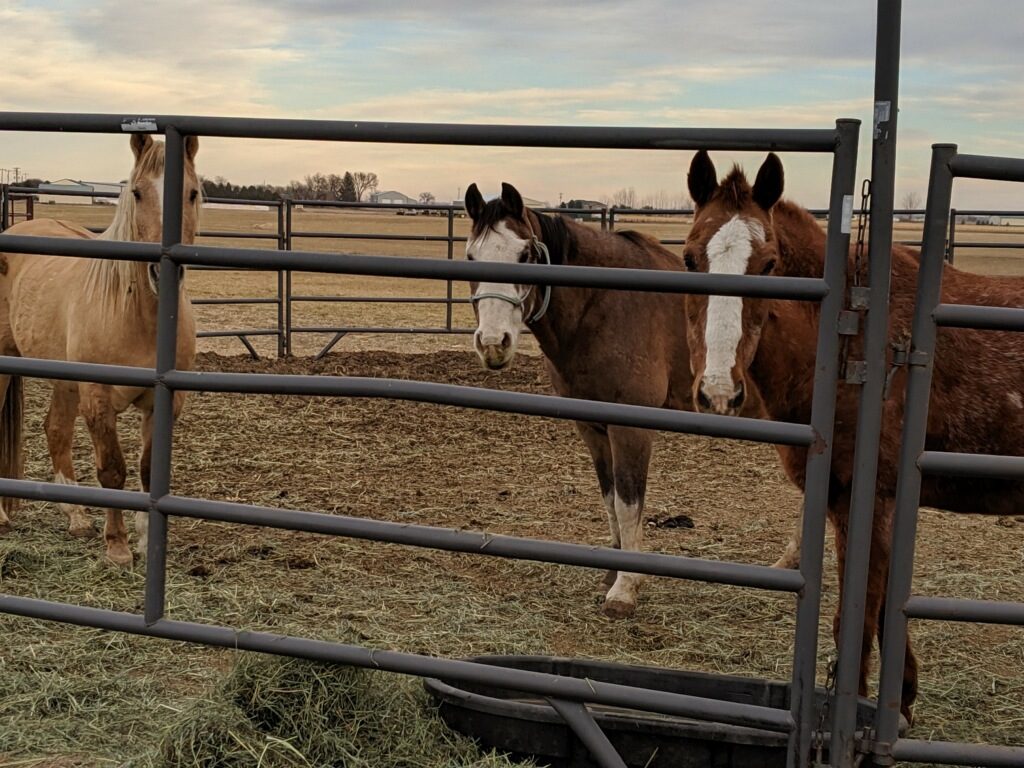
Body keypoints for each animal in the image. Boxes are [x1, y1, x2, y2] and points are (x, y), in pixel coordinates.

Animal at [0, 134, 201, 565]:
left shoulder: (163, 402)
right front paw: (118, 546)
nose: (162, 273)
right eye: (137, 193)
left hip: (64, 380)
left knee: (56, 431)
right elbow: (112, 469)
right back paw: (4, 519)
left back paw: (77, 518)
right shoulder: (98, 397)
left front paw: (145, 540)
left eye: (192, 193)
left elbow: (148, 470)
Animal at [464, 182, 806, 618]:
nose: (493, 344)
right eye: (471, 257)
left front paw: (625, 589)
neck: (607, 305)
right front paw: (612, 573)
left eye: (525, 255)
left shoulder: (631, 428)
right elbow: (611, 499)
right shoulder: (593, 427)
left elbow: (629, 503)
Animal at [679, 148, 1024, 720]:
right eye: (689, 259)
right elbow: (883, 612)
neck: (860, 338)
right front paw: (901, 703)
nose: (718, 391)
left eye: (769, 264)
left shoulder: (869, 501)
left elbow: (857, 623)